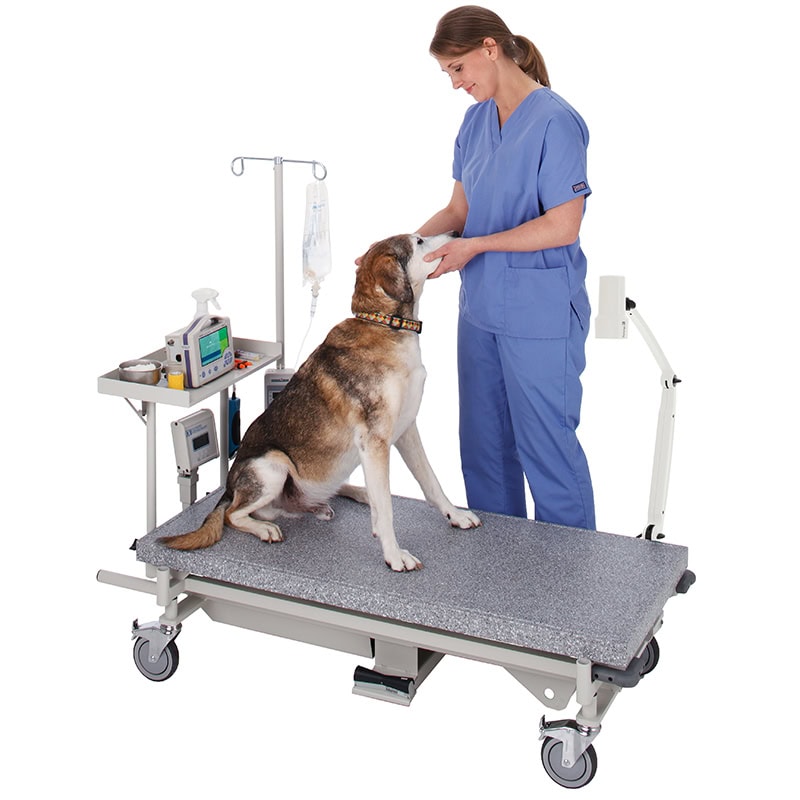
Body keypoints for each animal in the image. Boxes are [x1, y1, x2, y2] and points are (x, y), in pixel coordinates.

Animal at [159, 231, 478, 568]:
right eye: (418, 241)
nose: (457, 233)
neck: (383, 323)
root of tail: (229, 486)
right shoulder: (374, 439)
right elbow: (388, 509)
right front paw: (394, 555)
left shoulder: (405, 430)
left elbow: (430, 481)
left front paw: (455, 515)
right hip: (272, 466)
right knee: (235, 514)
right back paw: (266, 528)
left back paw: (355, 495)